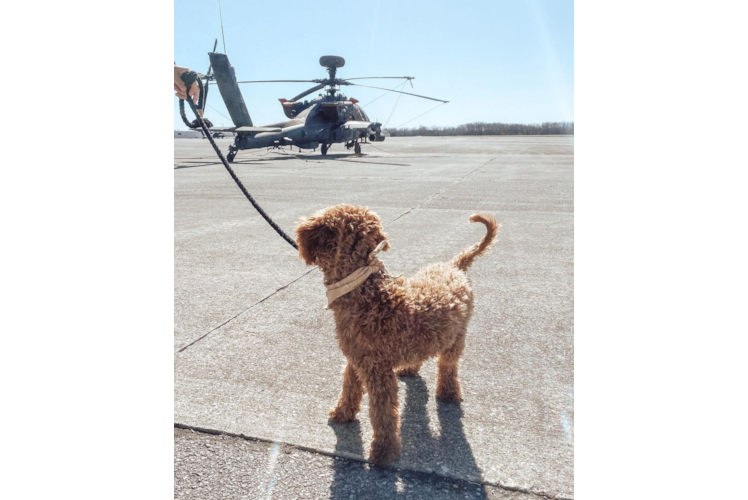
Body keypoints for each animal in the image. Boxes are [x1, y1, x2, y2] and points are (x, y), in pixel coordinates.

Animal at [296, 203, 500, 464]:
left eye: (326, 224)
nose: (301, 231)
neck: (366, 292)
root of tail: (455, 266)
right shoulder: (355, 357)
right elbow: (349, 387)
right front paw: (342, 413)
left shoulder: (377, 369)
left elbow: (382, 411)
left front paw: (383, 452)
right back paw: (409, 368)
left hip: (457, 335)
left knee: (448, 365)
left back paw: (448, 392)